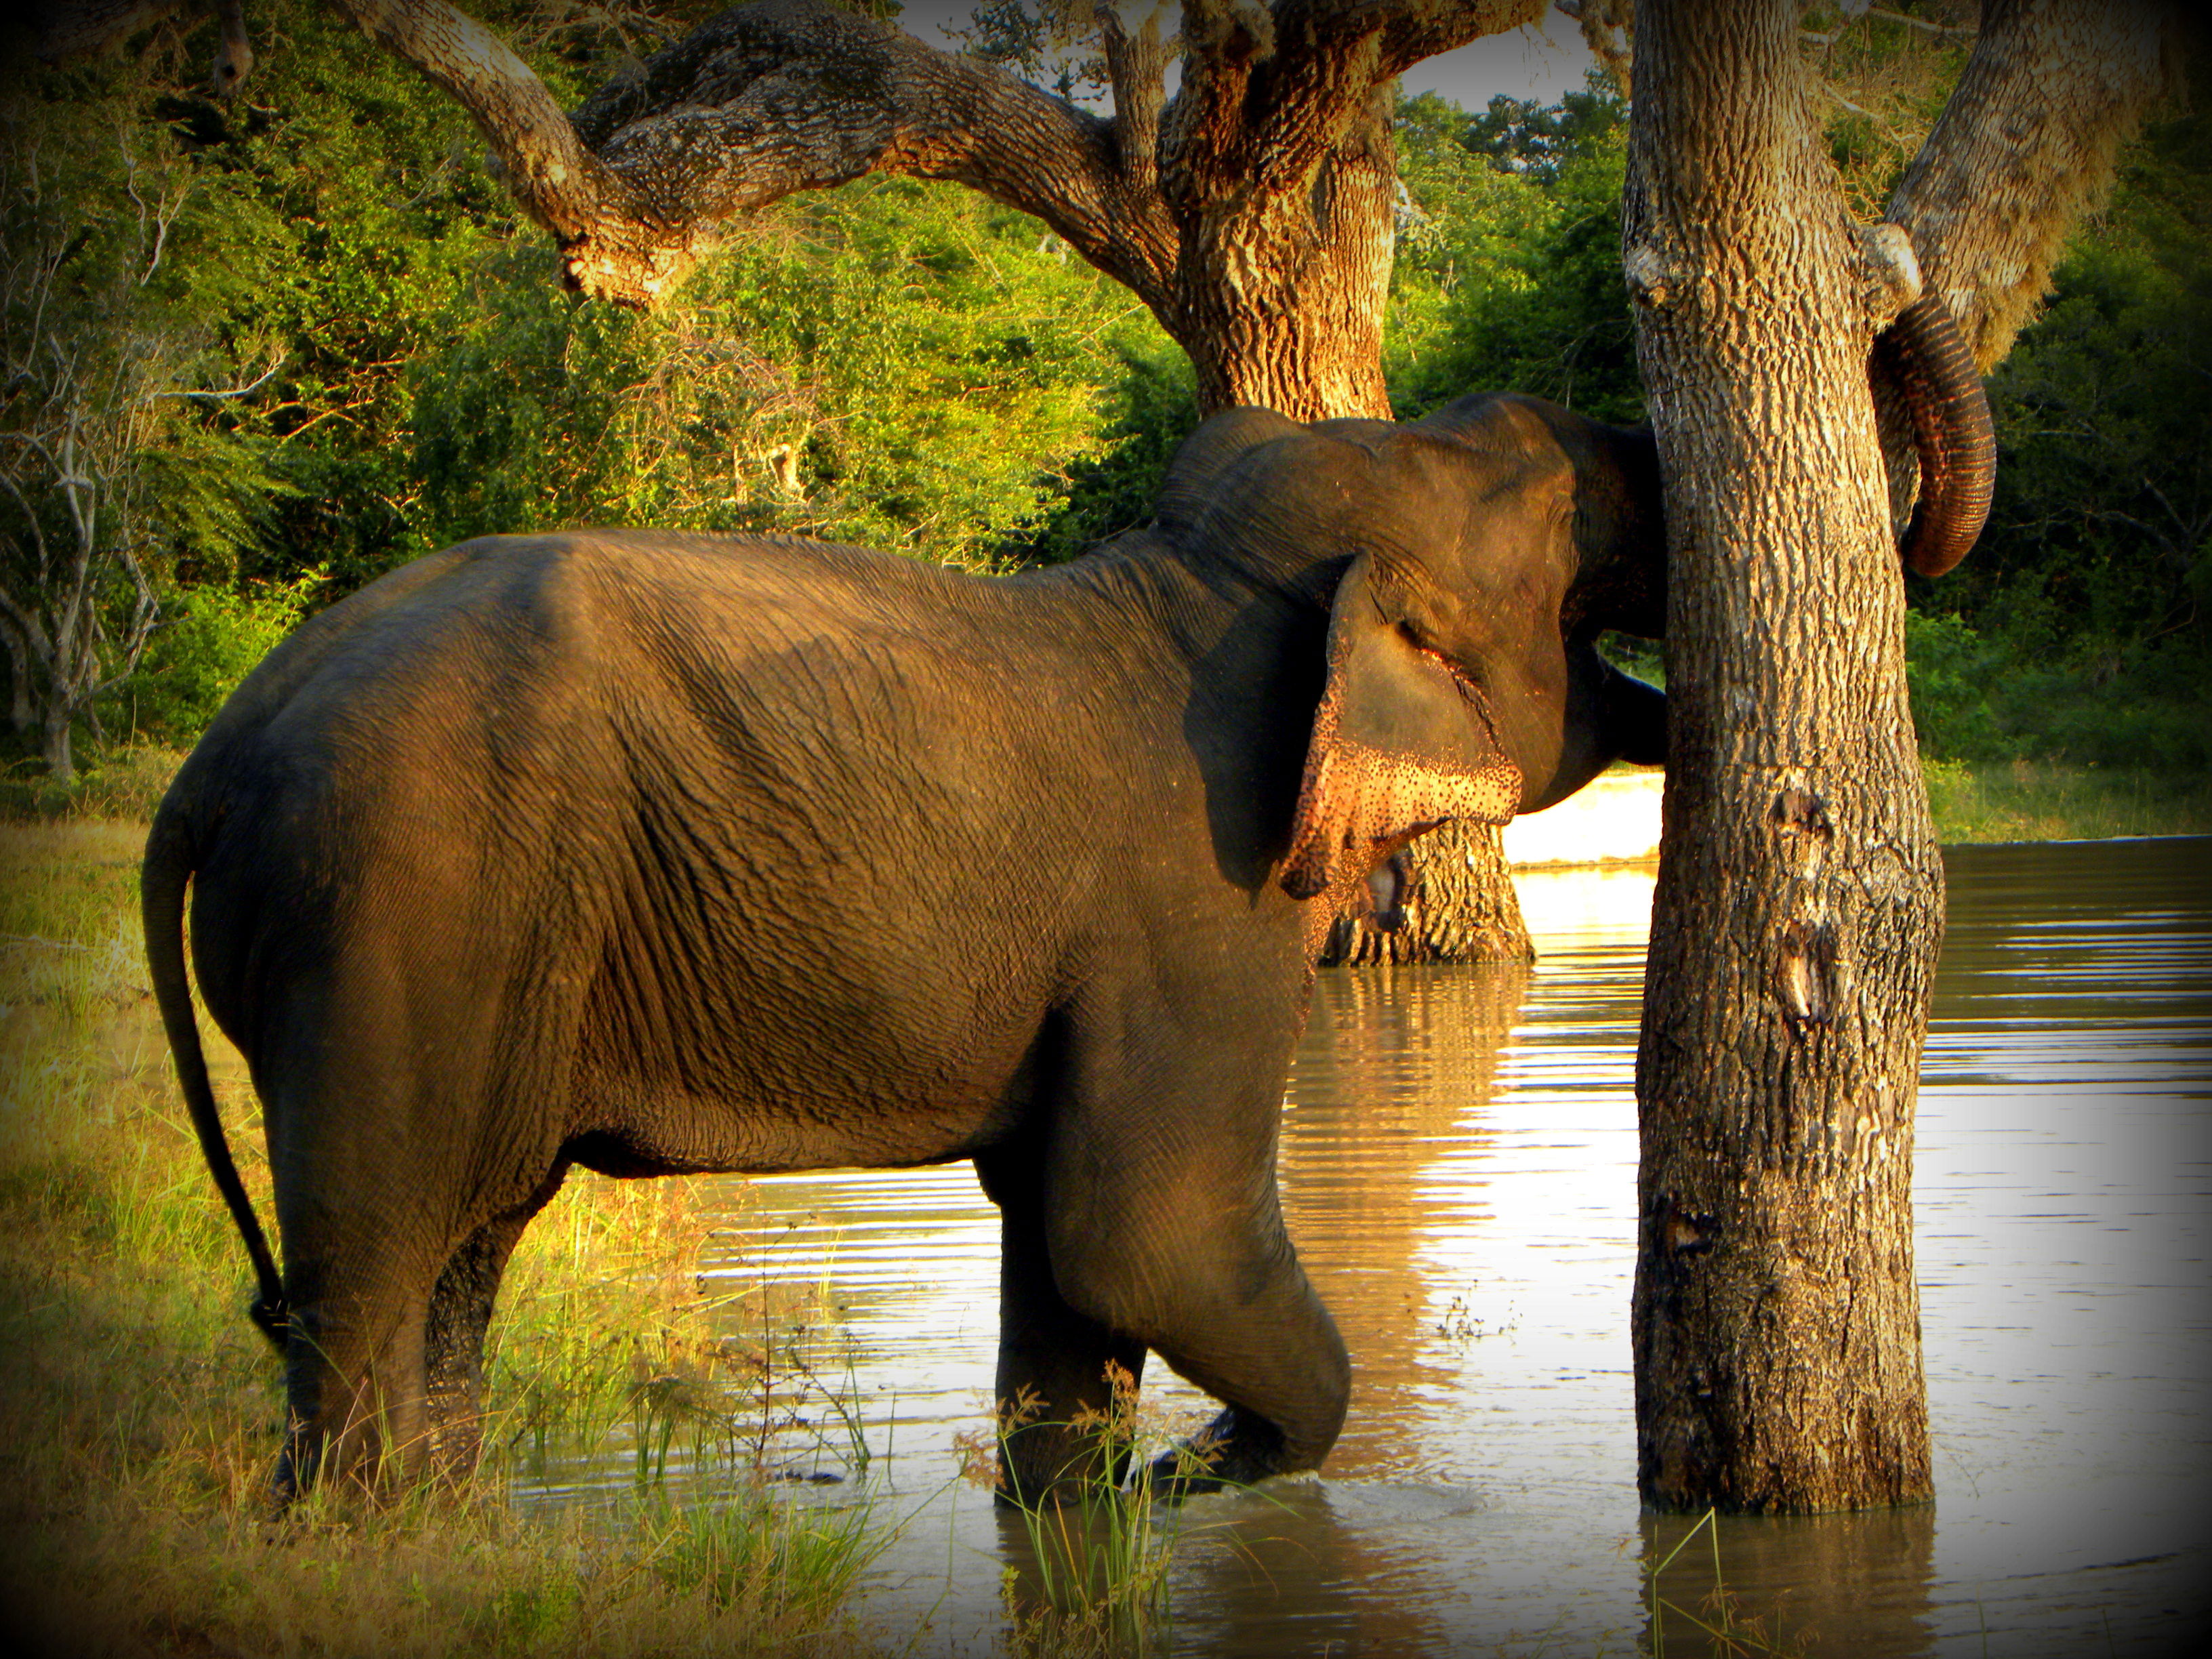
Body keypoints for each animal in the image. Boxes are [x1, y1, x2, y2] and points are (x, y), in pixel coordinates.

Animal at [142, 333, 1990, 1504]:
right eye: (1554, 497)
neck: (1193, 581)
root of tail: (209, 761)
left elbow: (1065, 1253)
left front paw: (1098, 1492)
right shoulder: (1201, 903)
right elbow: (1140, 1230)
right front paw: (1198, 1473)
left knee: (464, 1253)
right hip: (396, 912)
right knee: (374, 1262)